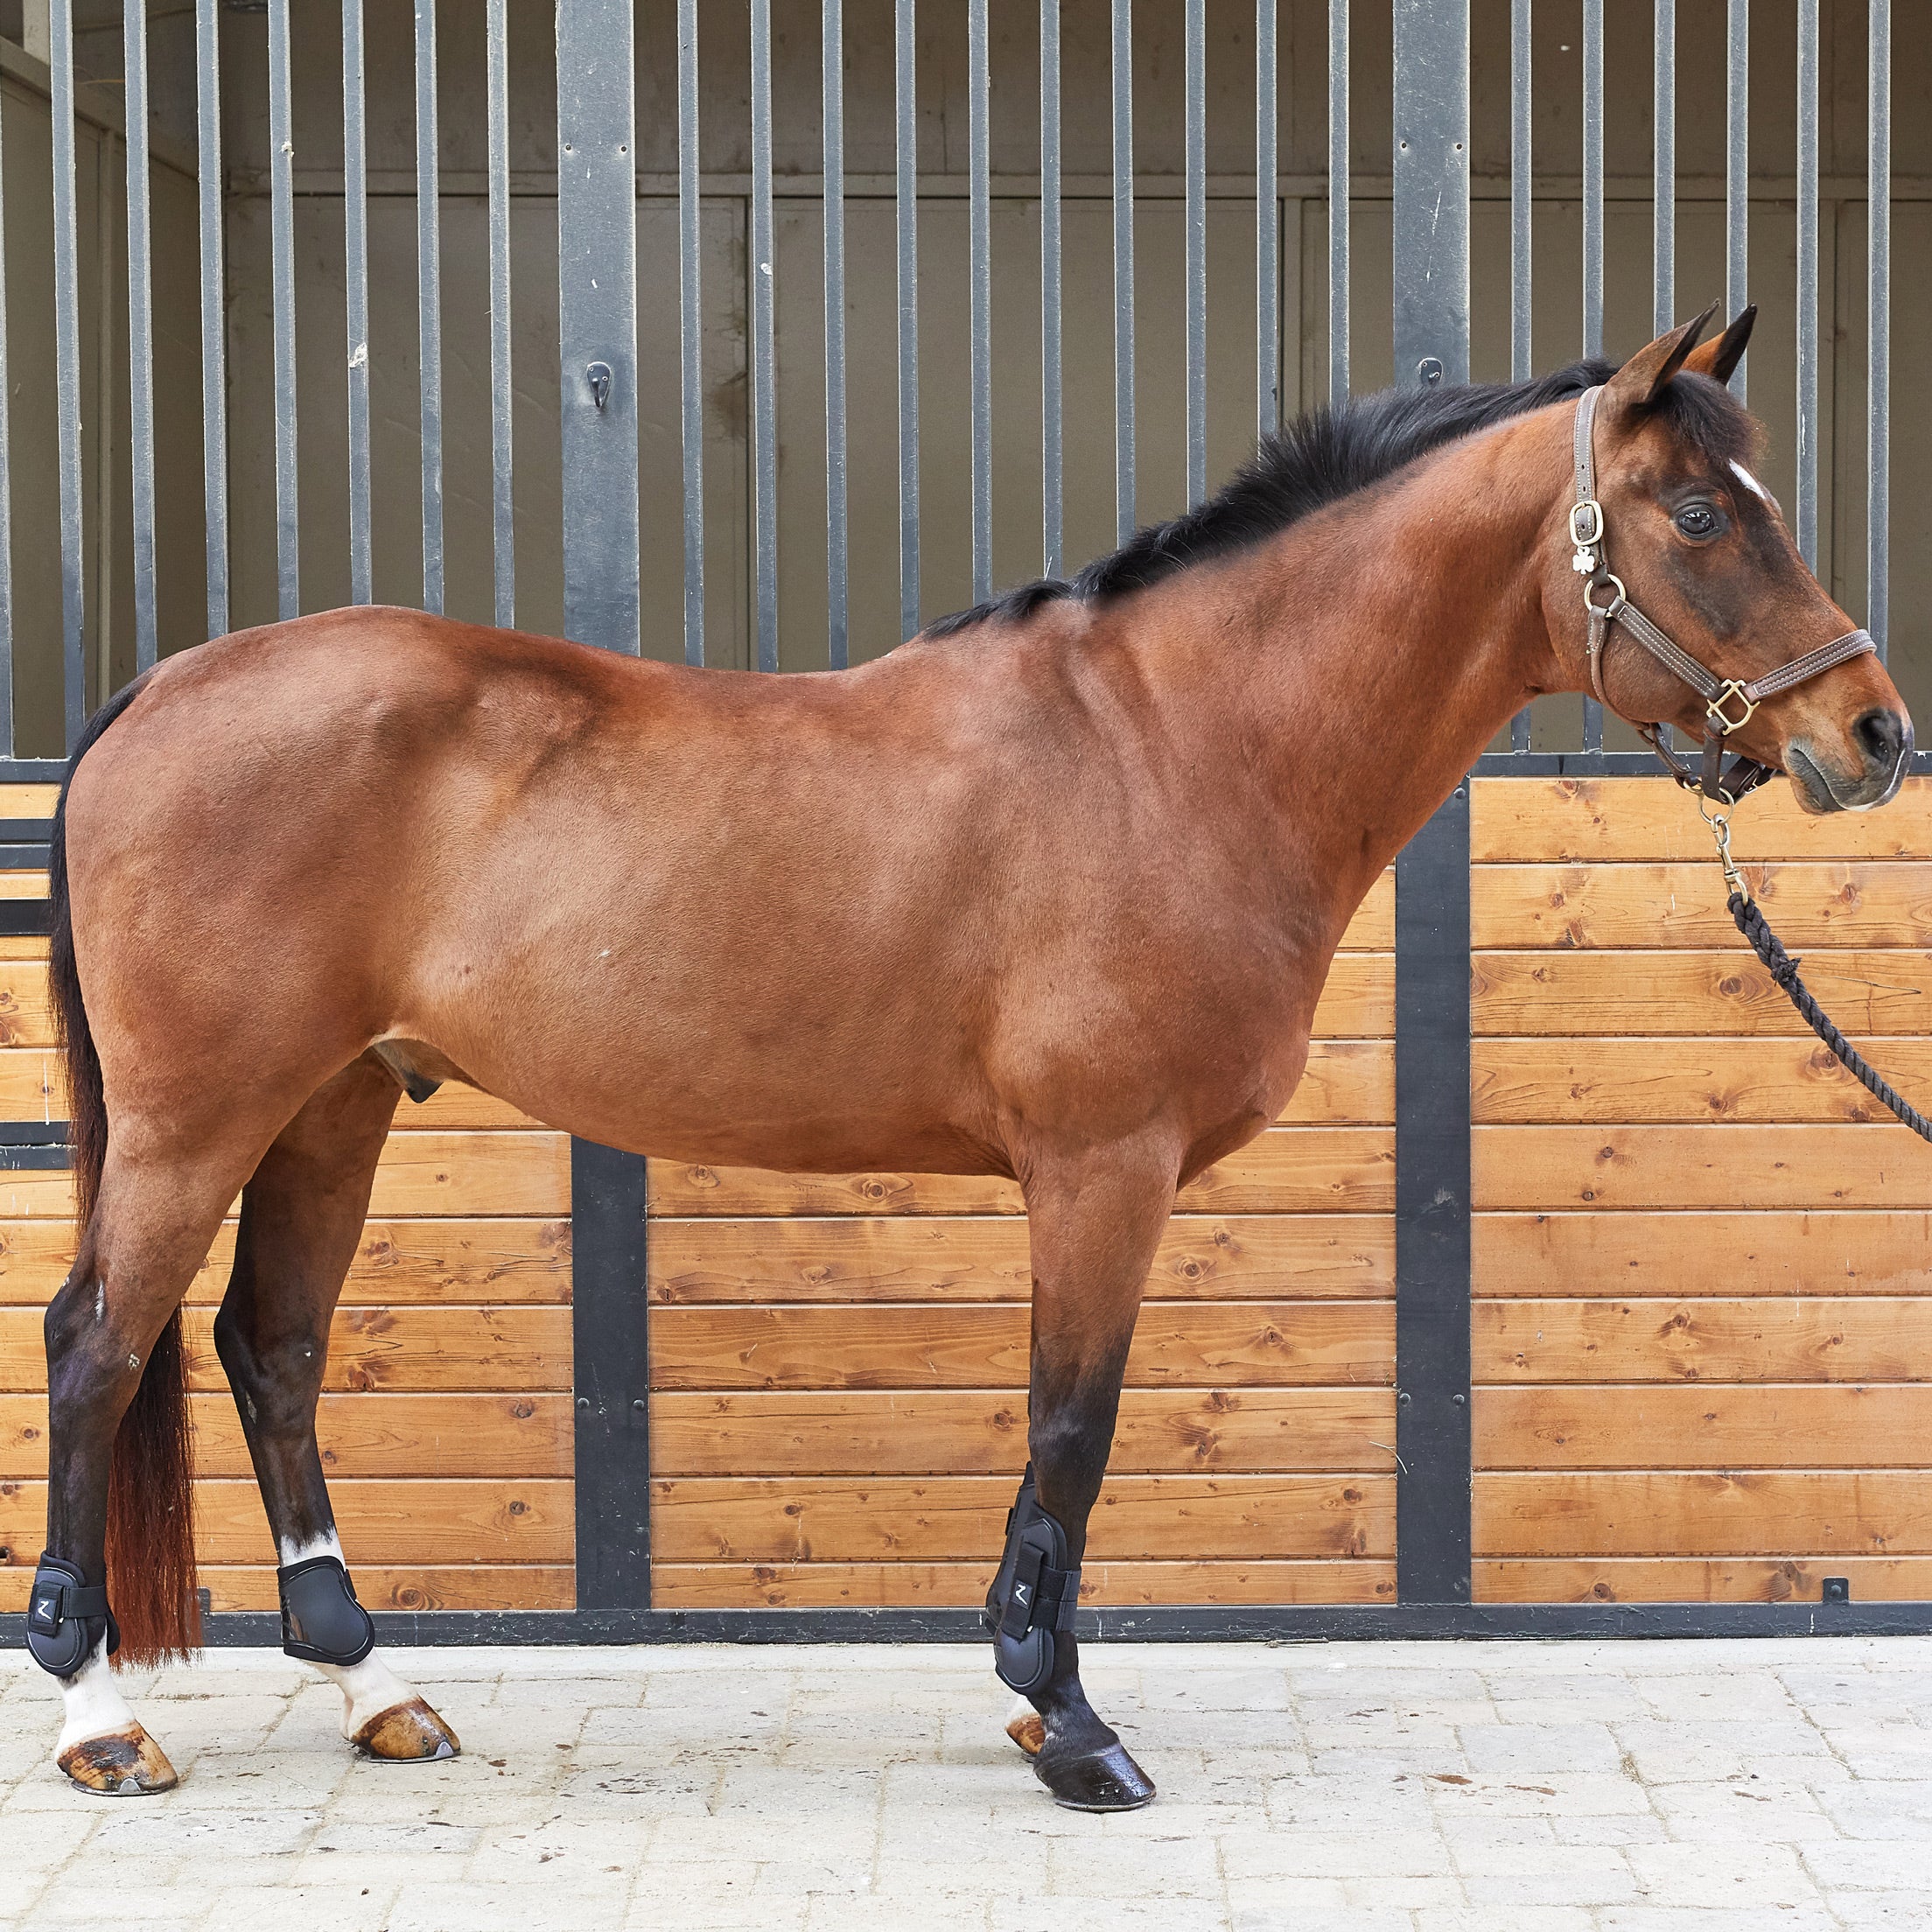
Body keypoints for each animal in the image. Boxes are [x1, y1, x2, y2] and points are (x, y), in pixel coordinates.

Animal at [26, 309, 1909, 1806]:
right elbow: (1073, 1425)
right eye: (1697, 515)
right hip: (202, 1117)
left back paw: (374, 1685)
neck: (1175, 746)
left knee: (271, 1349)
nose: (1872, 732)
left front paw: (1036, 1706)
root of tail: (163, 688)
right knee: (98, 1346)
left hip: (336, 1102)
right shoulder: (1101, 1168)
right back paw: (99, 1713)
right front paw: (1065, 1722)